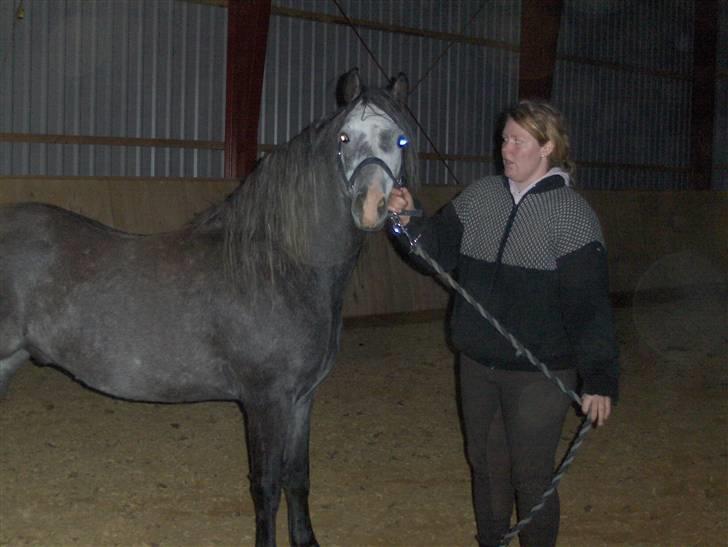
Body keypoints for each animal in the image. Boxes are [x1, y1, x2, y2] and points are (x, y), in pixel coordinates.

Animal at [0, 68, 417, 547]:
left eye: (401, 139)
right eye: (344, 137)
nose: (371, 205)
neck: (280, 267)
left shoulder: (301, 401)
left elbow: (298, 477)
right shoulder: (266, 400)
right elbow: (266, 485)